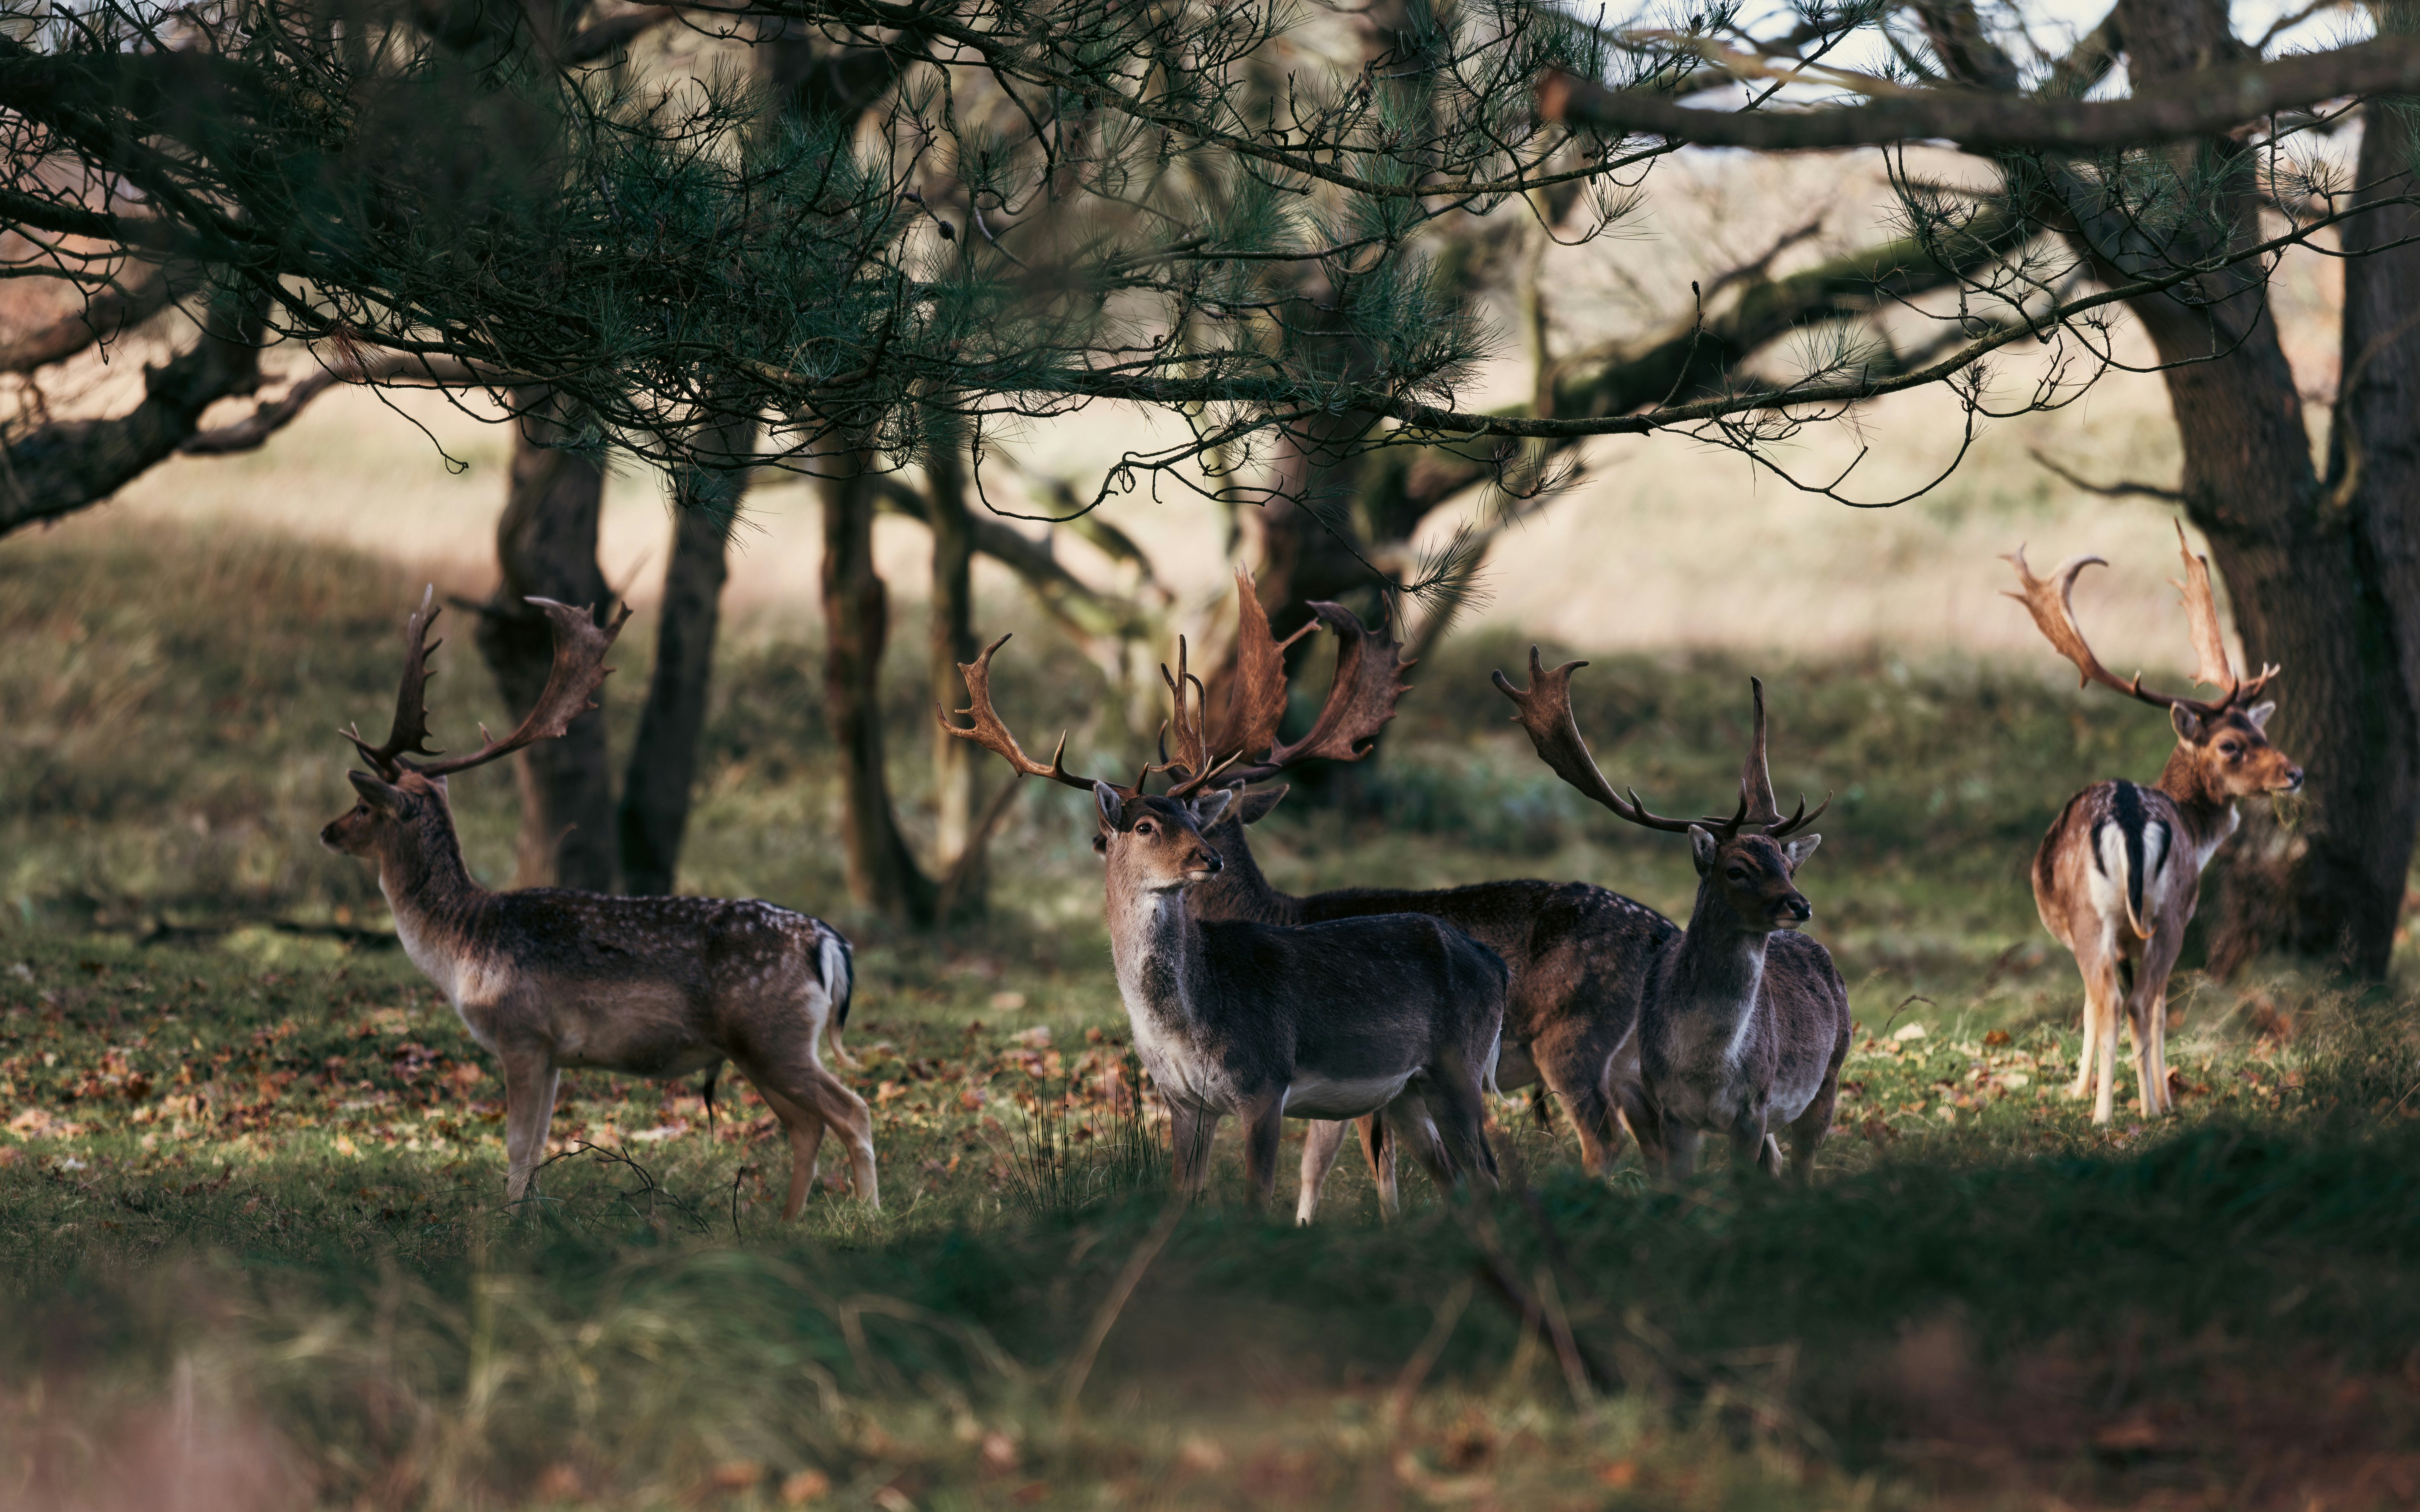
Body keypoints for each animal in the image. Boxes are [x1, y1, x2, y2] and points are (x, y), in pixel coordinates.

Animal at [319, 587, 878, 1216]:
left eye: (363, 807)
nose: (327, 831)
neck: (462, 944)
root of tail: (827, 942)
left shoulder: (522, 1034)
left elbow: (517, 1145)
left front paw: (508, 1220)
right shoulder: (554, 1054)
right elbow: (537, 1146)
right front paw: (528, 1215)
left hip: (773, 1037)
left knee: (853, 1112)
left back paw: (867, 1216)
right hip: (758, 1049)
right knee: (807, 1125)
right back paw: (786, 1222)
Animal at [941, 610, 1510, 1214]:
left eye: (1196, 821)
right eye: (1145, 826)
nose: (1208, 858)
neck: (1186, 1020)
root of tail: (1495, 964)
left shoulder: (1264, 1082)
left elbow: (1257, 1198)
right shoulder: (1184, 1101)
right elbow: (1182, 1197)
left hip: (1460, 1064)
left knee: (1488, 1171)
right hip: (1404, 1090)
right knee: (1456, 1176)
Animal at [1167, 573, 1681, 1221]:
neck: (1278, 911)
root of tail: (1668, 931)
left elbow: (1353, 1164)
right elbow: (1322, 1163)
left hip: (1573, 1037)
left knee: (1605, 1140)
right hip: (1631, 1058)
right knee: (1658, 1140)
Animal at [1495, 660, 1850, 1180]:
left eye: (1789, 867)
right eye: (1736, 869)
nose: (1800, 905)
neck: (1706, 1068)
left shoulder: (1754, 1108)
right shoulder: (1670, 1110)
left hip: (1829, 1077)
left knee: (1803, 1164)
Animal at [2003, 525, 2304, 1124]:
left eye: (2260, 733)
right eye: (2231, 745)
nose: (2296, 773)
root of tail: (2129, 816)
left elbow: (2107, 1008)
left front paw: (2093, 1091)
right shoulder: (2164, 919)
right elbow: (2143, 1008)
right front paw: (2139, 1093)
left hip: (2112, 919)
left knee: (2123, 1001)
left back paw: (2120, 1112)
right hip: (2156, 916)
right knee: (2136, 1001)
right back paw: (2138, 1109)